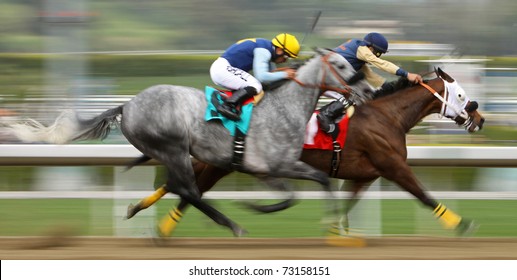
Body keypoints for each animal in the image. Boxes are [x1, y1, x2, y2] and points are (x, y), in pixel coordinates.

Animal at [8, 47, 370, 236]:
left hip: (171, 153)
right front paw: (253, 207)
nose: (366, 89)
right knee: (189, 190)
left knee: (178, 187)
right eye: (341, 65)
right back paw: (232, 225)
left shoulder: (276, 168)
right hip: (173, 148)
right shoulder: (270, 166)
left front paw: (335, 225)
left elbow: (321, 181)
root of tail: (127, 105)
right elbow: (293, 196)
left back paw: (138, 209)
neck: (284, 109)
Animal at [125, 67, 484, 236]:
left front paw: (335, 231)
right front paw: (463, 225)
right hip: (221, 163)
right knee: (188, 190)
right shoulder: (393, 166)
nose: (479, 118)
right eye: (461, 94)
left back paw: (141, 212)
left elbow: (346, 206)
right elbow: (424, 196)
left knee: (182, 186)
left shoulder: (363, 177)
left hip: (217, 162)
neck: (387, 116)